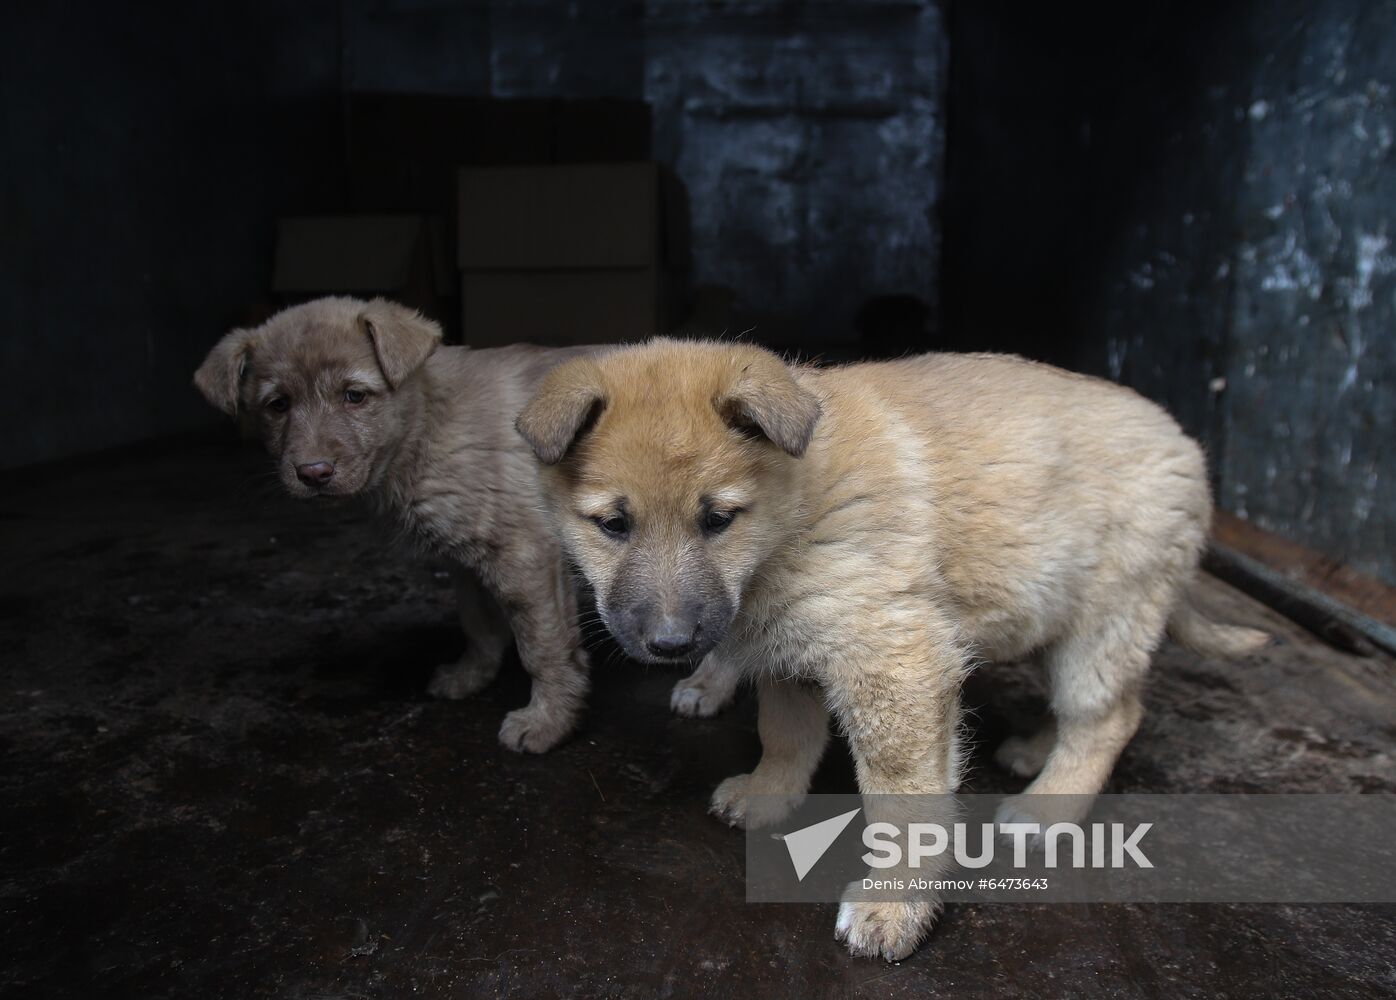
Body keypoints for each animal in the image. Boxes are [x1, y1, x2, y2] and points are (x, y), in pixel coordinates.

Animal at [199, 300, 742, 754]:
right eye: (277, 405)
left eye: (354, 396)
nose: (312, 473)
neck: (427, 421)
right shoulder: (465, 555)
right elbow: (477, 623)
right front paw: (470, 676)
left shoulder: (526, 557)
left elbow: (544, 649)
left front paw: (547, 724)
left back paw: (706, 687)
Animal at [519, 337, 1273, 960]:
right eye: (613, 524)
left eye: (718, 519)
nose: (672, 643)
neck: (793, 509)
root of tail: (1185, 444)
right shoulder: (788, 648)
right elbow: (786, 734)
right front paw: (769, 794)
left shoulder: (894, 658)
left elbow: (902, 800)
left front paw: (895, 908)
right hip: (1047, 608)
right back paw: (1035, 752)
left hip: (1107, 618)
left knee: (1108, 717)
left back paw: (1045, 806)